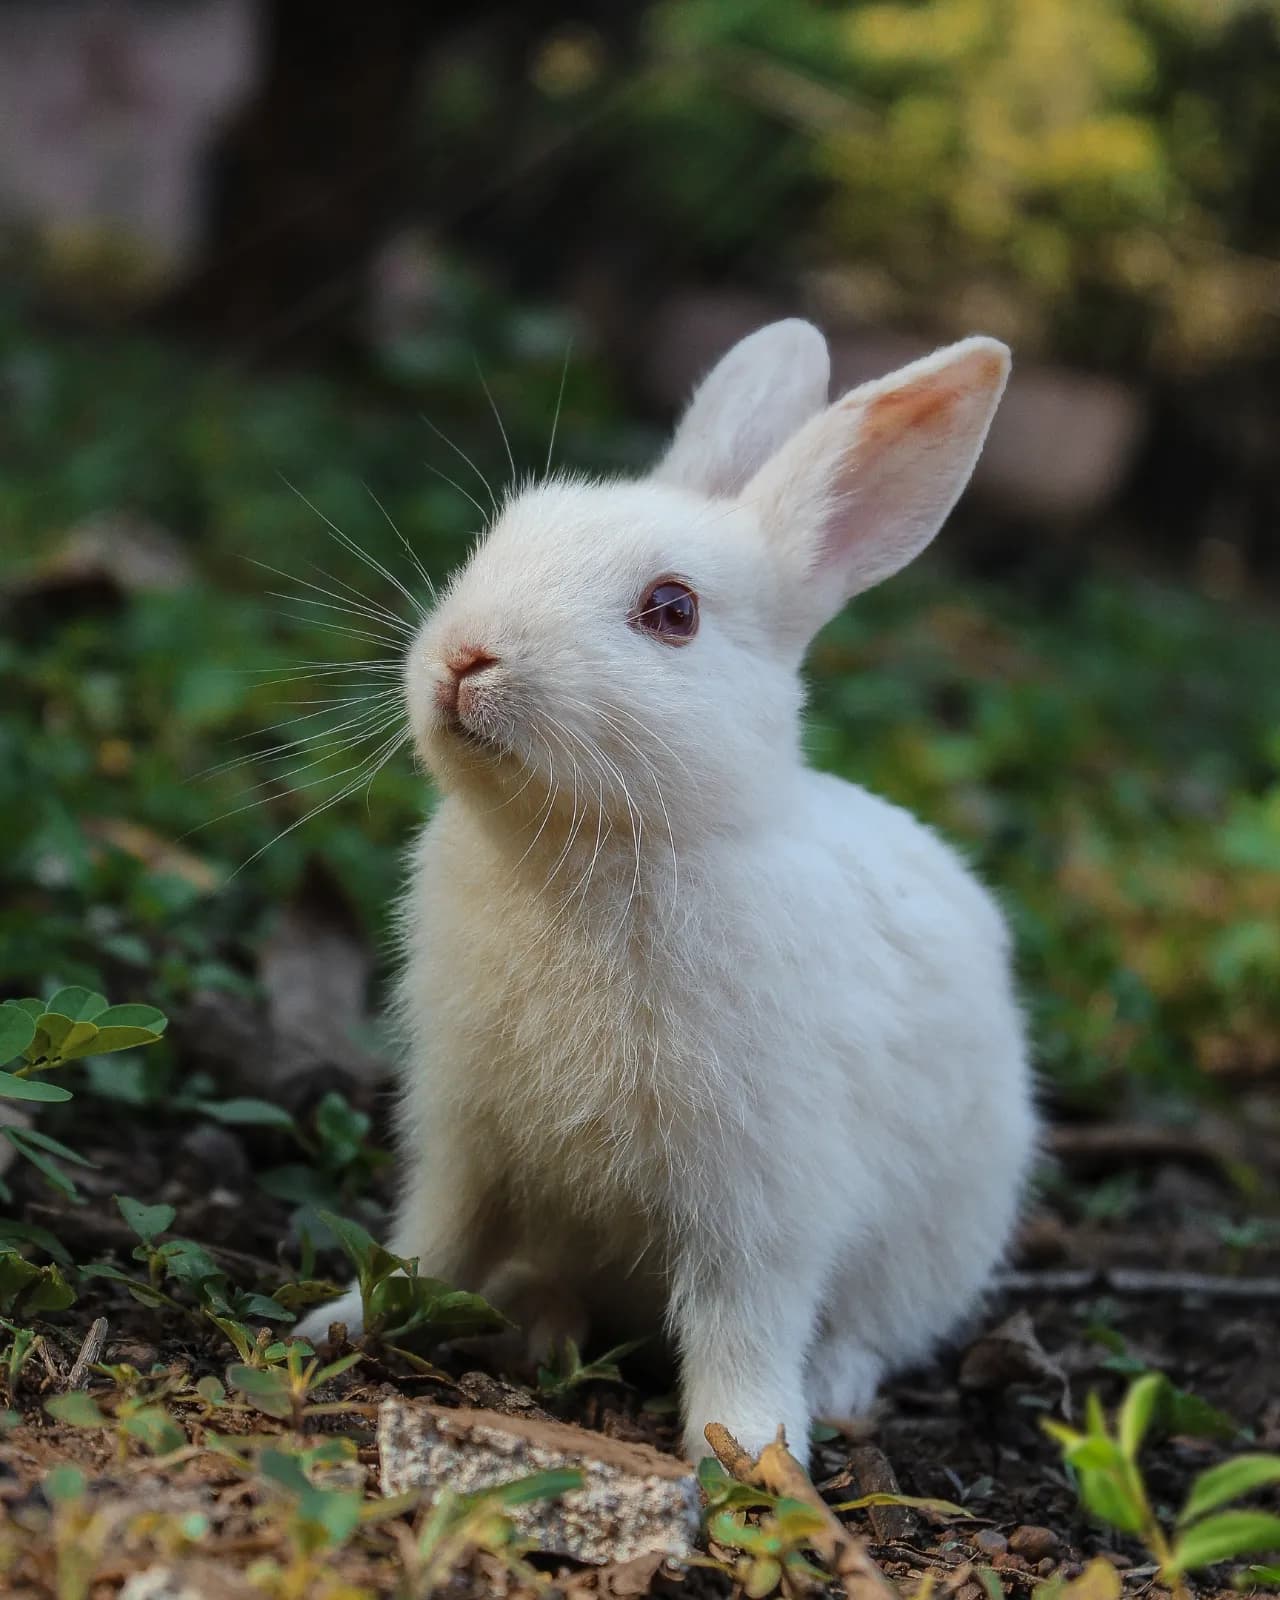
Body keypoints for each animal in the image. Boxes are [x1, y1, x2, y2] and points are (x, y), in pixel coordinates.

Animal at [298, 320, 1038, 1465]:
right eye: (500, 536)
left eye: (672, 611)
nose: (465, 657)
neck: (587, 848)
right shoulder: (464, 1136)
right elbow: (430, 1241)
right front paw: (339, 1322)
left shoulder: (761, 1193)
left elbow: (744, 1318)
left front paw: (750, 1452)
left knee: (870, 1327)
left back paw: (830, 1388)